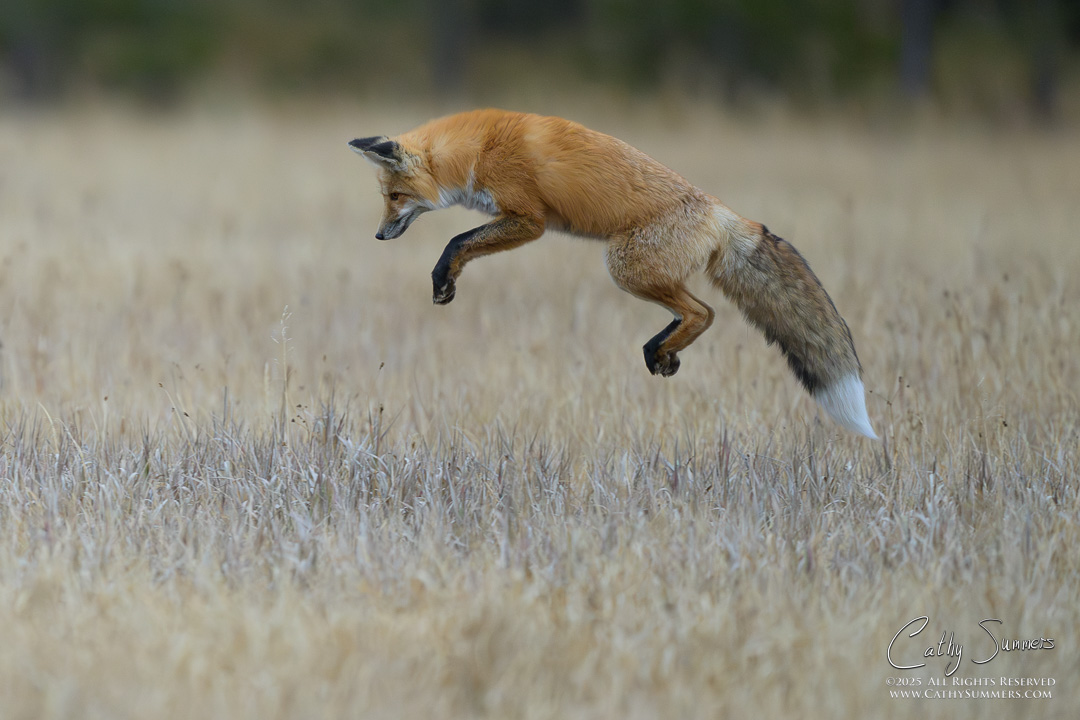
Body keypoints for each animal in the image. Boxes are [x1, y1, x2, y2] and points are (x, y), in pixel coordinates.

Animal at [348, 109, 877, 438]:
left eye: (393, 197)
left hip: (623, 266)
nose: (377, 236)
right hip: (639, 268)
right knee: (697, 312)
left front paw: (444, 280)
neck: (477, 149)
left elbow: (457, 242)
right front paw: (447, 282)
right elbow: (461, 241)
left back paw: (660, 349)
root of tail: (724, 213)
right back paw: (663, 352)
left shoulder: (529, 220)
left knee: (703, 313)